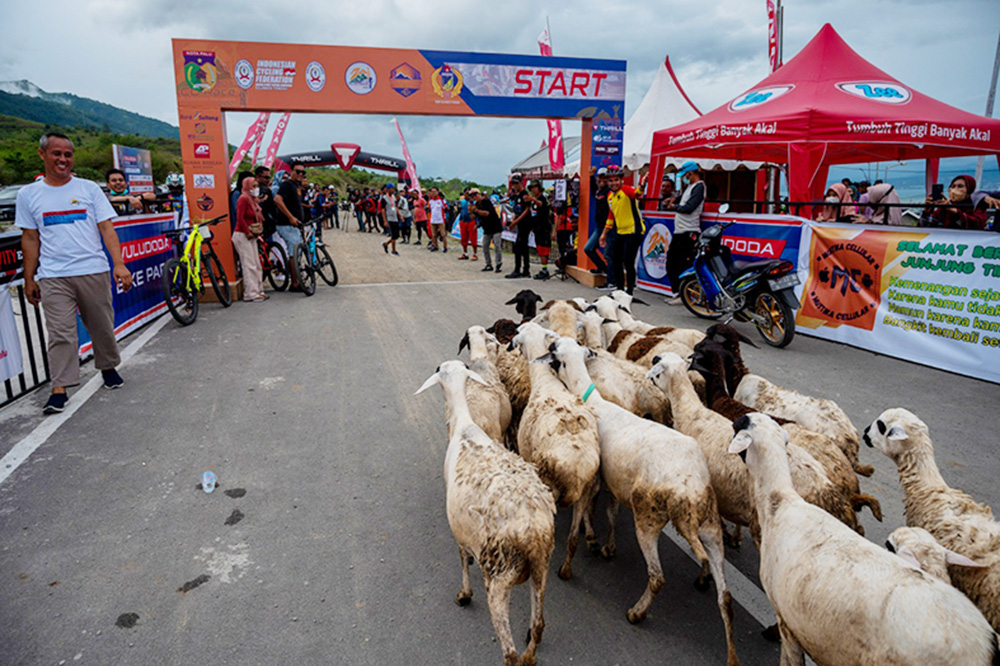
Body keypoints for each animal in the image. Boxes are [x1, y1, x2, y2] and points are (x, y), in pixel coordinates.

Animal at [412, 358, 556, 664]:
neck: (465, 426)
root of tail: (533, 532)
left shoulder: (458, 527)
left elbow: (461, 556)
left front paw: (464, 594)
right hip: (542, 565)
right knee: (538, 625)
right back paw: (530, 656)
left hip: (500, 573)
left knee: (509, 652)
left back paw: (516, 656)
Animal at [508, 324, 600, 580]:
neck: (545, 381)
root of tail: (577, 468)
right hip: (586, 490)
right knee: (572, 539)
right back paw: (566, 571)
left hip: (549, 485)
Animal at [544, 338, 740, 664]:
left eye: (557, 353)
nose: (553, 342)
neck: (594, 401)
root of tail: (689, 489)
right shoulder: (616, 484)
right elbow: (611, 512)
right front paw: (607, 546)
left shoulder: (599, 481)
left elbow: (590, 515)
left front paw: (582, 551)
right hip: (711, 525)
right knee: (725, 597)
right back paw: (731, 655)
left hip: (648, 516)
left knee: (657, 577)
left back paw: (637, 612)